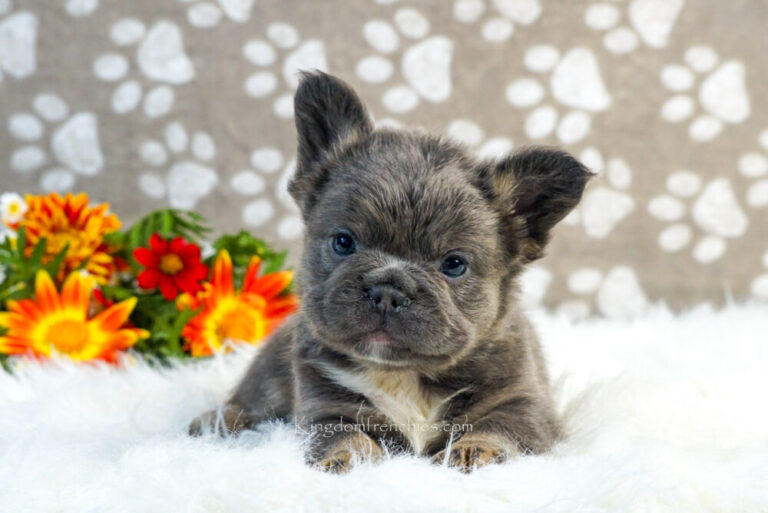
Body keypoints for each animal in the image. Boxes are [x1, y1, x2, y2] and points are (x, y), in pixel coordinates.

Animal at [190, 72, 588, 472]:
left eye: (454, 264)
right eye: (343, 242)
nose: (388, 291)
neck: (403, 373)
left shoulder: (523, 403)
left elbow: (499, 428)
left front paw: (475, 451)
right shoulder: (324, 405)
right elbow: (341, 433)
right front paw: (350, 458)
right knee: (253, 401)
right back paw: (218, 422)